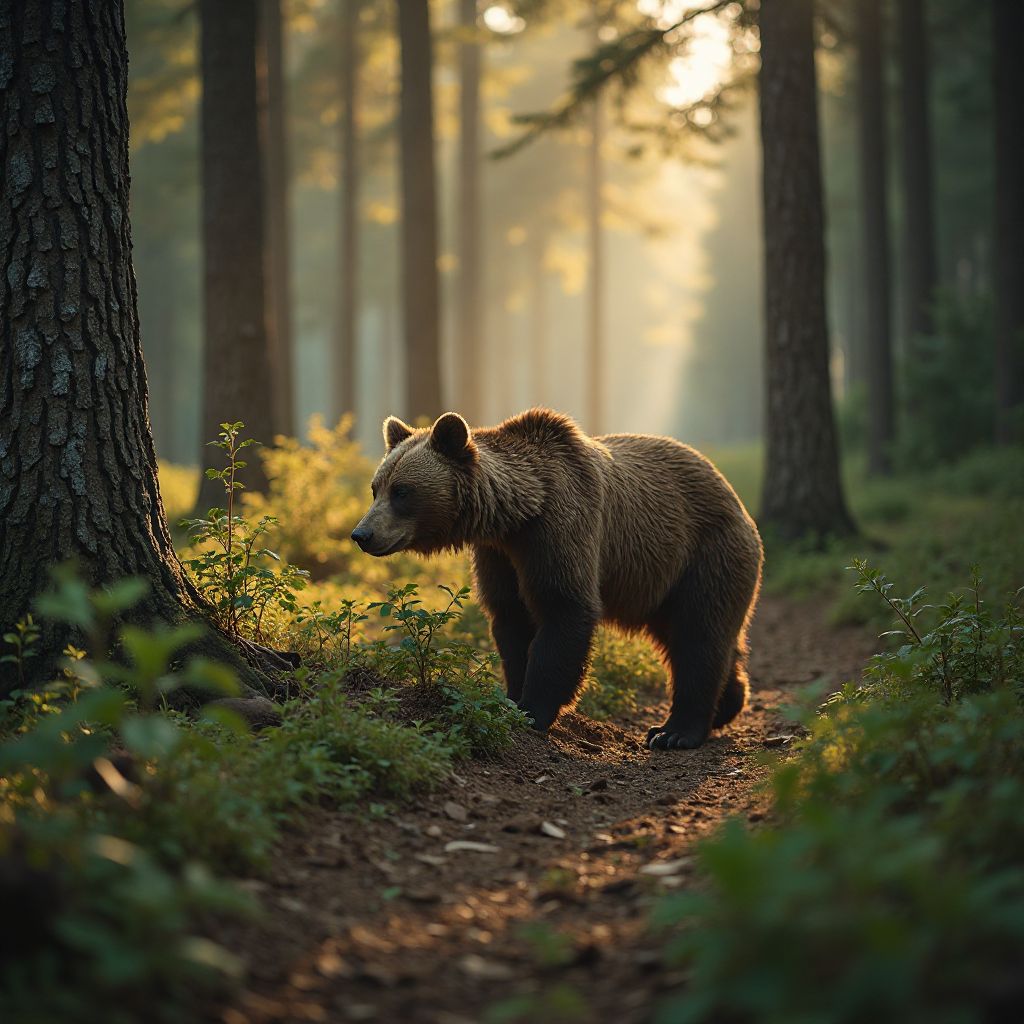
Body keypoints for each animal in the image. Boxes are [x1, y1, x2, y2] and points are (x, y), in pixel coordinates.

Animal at [351, 408, 763, 750]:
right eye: (375, 488)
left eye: (402, 491)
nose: (362, 534)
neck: (517, 516)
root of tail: (733, 495)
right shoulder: (499, 556)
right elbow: (511, 620)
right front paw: (511, 698)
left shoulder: (560, 529)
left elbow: (563, 610)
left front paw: (533, 709)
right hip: (661, 585)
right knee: (695, 636)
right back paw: (728, 702)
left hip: (703, 553)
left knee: (699, 634)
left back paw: (674, 732)